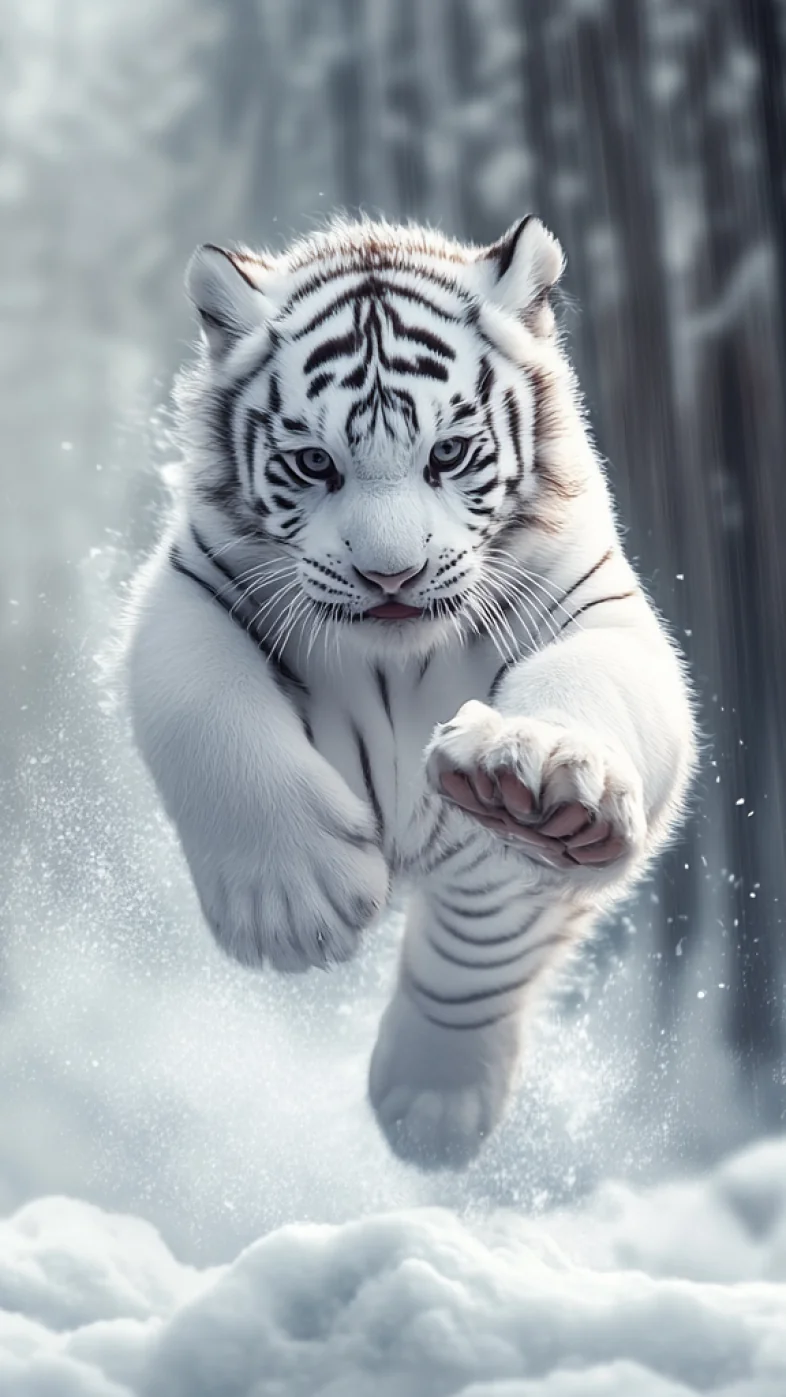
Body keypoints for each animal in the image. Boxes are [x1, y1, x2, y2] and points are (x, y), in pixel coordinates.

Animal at [123, 213, 697, 1171]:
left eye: (449, 453)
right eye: (313, 462)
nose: (390, 575)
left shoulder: (597, 609)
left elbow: (589, 687)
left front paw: (540, 774)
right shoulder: (191, 593)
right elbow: (202, 704)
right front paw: (296, 906)